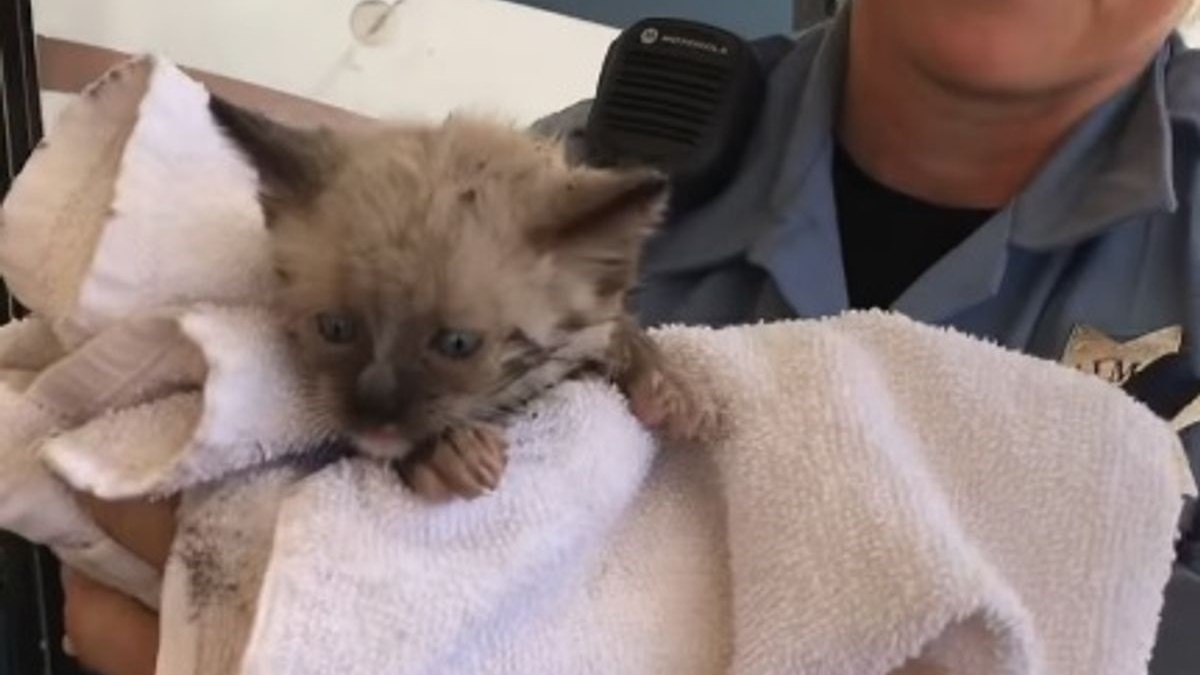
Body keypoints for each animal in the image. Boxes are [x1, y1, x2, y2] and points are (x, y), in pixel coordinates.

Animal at [210, 98, 715, 499]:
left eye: (457, 344)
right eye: (334, 328)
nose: (374, 409)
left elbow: (617, 326)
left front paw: (670, 386)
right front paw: (446, 452)